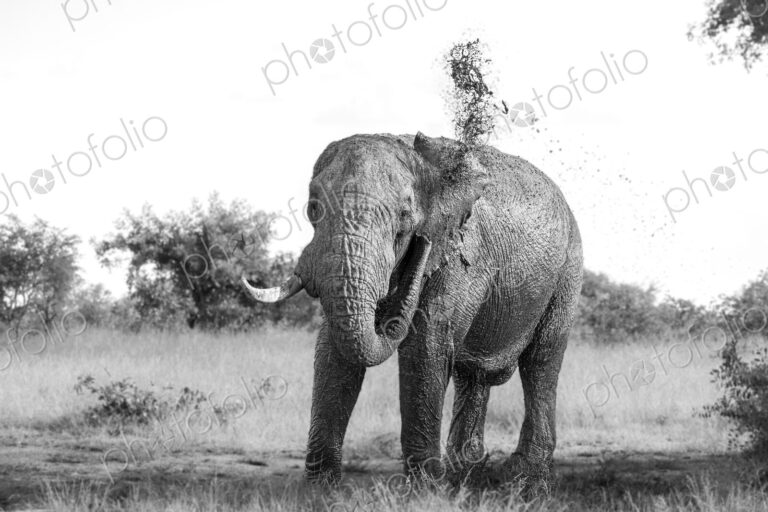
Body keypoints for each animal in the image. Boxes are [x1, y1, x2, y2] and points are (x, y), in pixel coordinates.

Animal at [243, 132, 583, 487]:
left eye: (405, 219)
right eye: (312, 208)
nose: (420, 245)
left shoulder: (459, 251)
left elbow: (425, 347)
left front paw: (425, 490)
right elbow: (333, 352)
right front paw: (321, 489)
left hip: (568, 269)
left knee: (541, 362)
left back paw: (524, 479)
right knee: (473, 375)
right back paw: (467, 475)